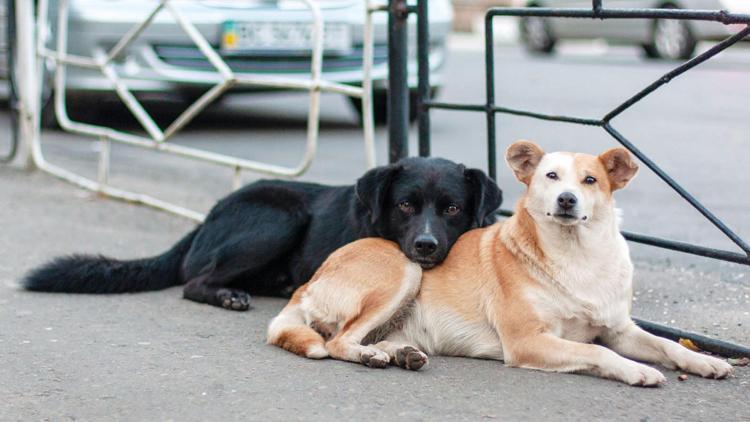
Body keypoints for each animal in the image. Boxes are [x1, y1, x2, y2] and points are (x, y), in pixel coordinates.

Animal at [23, 157, 502, 310]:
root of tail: (208, 217)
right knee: (194, 281)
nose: (425, 245)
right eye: (405, 205)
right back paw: (228, 296)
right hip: (281, 216)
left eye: (452, 209)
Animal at [268, 141, 736, 386]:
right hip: (406, 271)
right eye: (550, 176)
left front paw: (703, 361)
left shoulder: (619, 329)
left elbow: (665, 344)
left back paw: (399, 353)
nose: (567, 200)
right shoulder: (530, 341)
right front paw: (636, 370)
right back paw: (371, 356)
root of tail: (311, 279)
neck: (578, 257)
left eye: (590, 180)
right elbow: (594, 350)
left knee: (367, 338)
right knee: (338, 341)